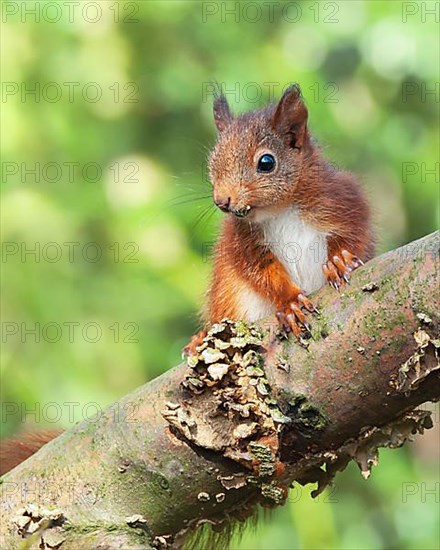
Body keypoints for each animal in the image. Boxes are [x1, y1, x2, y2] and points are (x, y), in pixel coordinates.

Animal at [184, 84, 372, 356]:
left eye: (266, 162)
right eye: (213, 163)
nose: (222, 200)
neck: (280, 210)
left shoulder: (344, 200)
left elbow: (354, 234)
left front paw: (339, 260)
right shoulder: (245, 241)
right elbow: (262, 272)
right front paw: (290, 303)